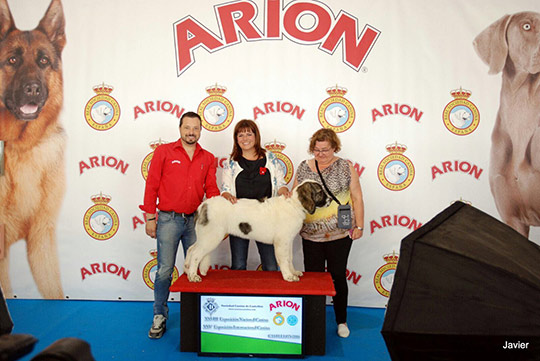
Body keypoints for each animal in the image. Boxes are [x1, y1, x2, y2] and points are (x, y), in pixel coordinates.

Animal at [186, 180, 326, 282]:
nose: (329, 199)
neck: (294, 204)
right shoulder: (282, 242)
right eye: (320, 192)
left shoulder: (288, 241)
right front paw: (288, 276)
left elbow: (289, 258)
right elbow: (284, 259)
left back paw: (187, 270)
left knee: (191, 249)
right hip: (211, 236)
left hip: (205, 236)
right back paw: (193, 276)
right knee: (196, 254)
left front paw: (294, 272)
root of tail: (203, 205)